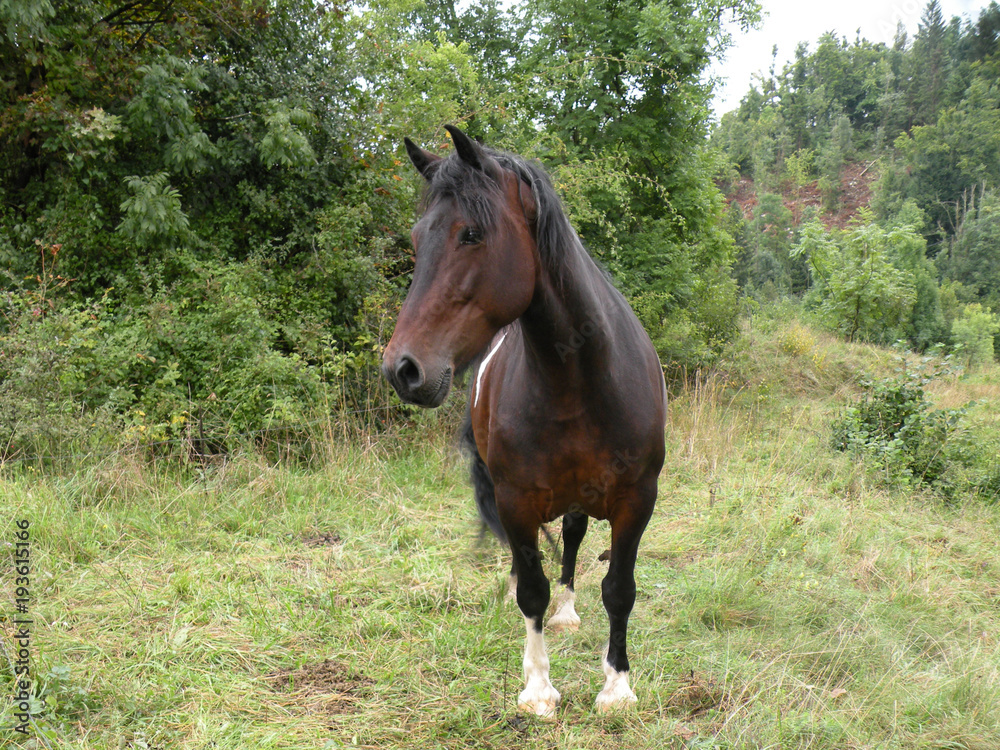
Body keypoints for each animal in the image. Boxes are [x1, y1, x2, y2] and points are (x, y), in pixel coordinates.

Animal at [382, 125, 666, 718]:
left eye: (470, 234)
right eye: (417, 242)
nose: (402, 369)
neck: (579, 377)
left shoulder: (638, 498)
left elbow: (619, 588)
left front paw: (617, 686)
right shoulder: (515, 499)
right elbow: (531, 588)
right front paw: (538, 689)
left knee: (575, 539)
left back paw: (569, 611)